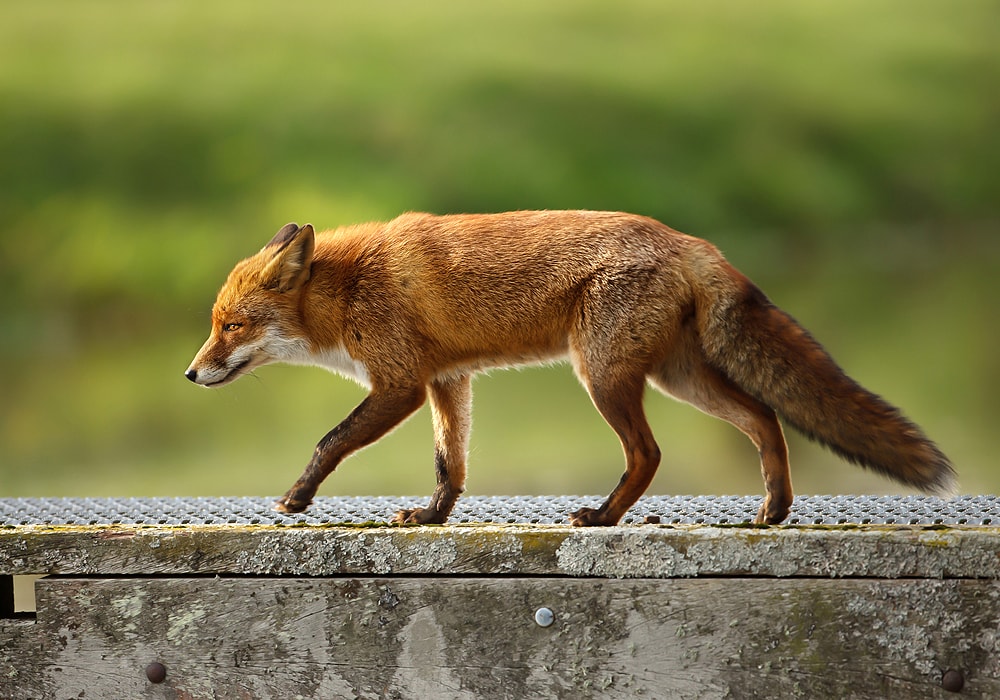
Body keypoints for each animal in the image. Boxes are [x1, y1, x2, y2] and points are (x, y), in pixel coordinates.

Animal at [184, 212, 956, 524]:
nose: (190, 376)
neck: (349, 287)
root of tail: (691, 240)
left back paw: (604, 517)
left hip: (605, 378)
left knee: (649, 453)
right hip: (678, 378)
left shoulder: (400, 384)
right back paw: (773, 508)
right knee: (765, 417)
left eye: (231, 327)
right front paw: (432, 517)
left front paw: (296, 497)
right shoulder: (446, 381)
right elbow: (449, 466)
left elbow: (329, 441)